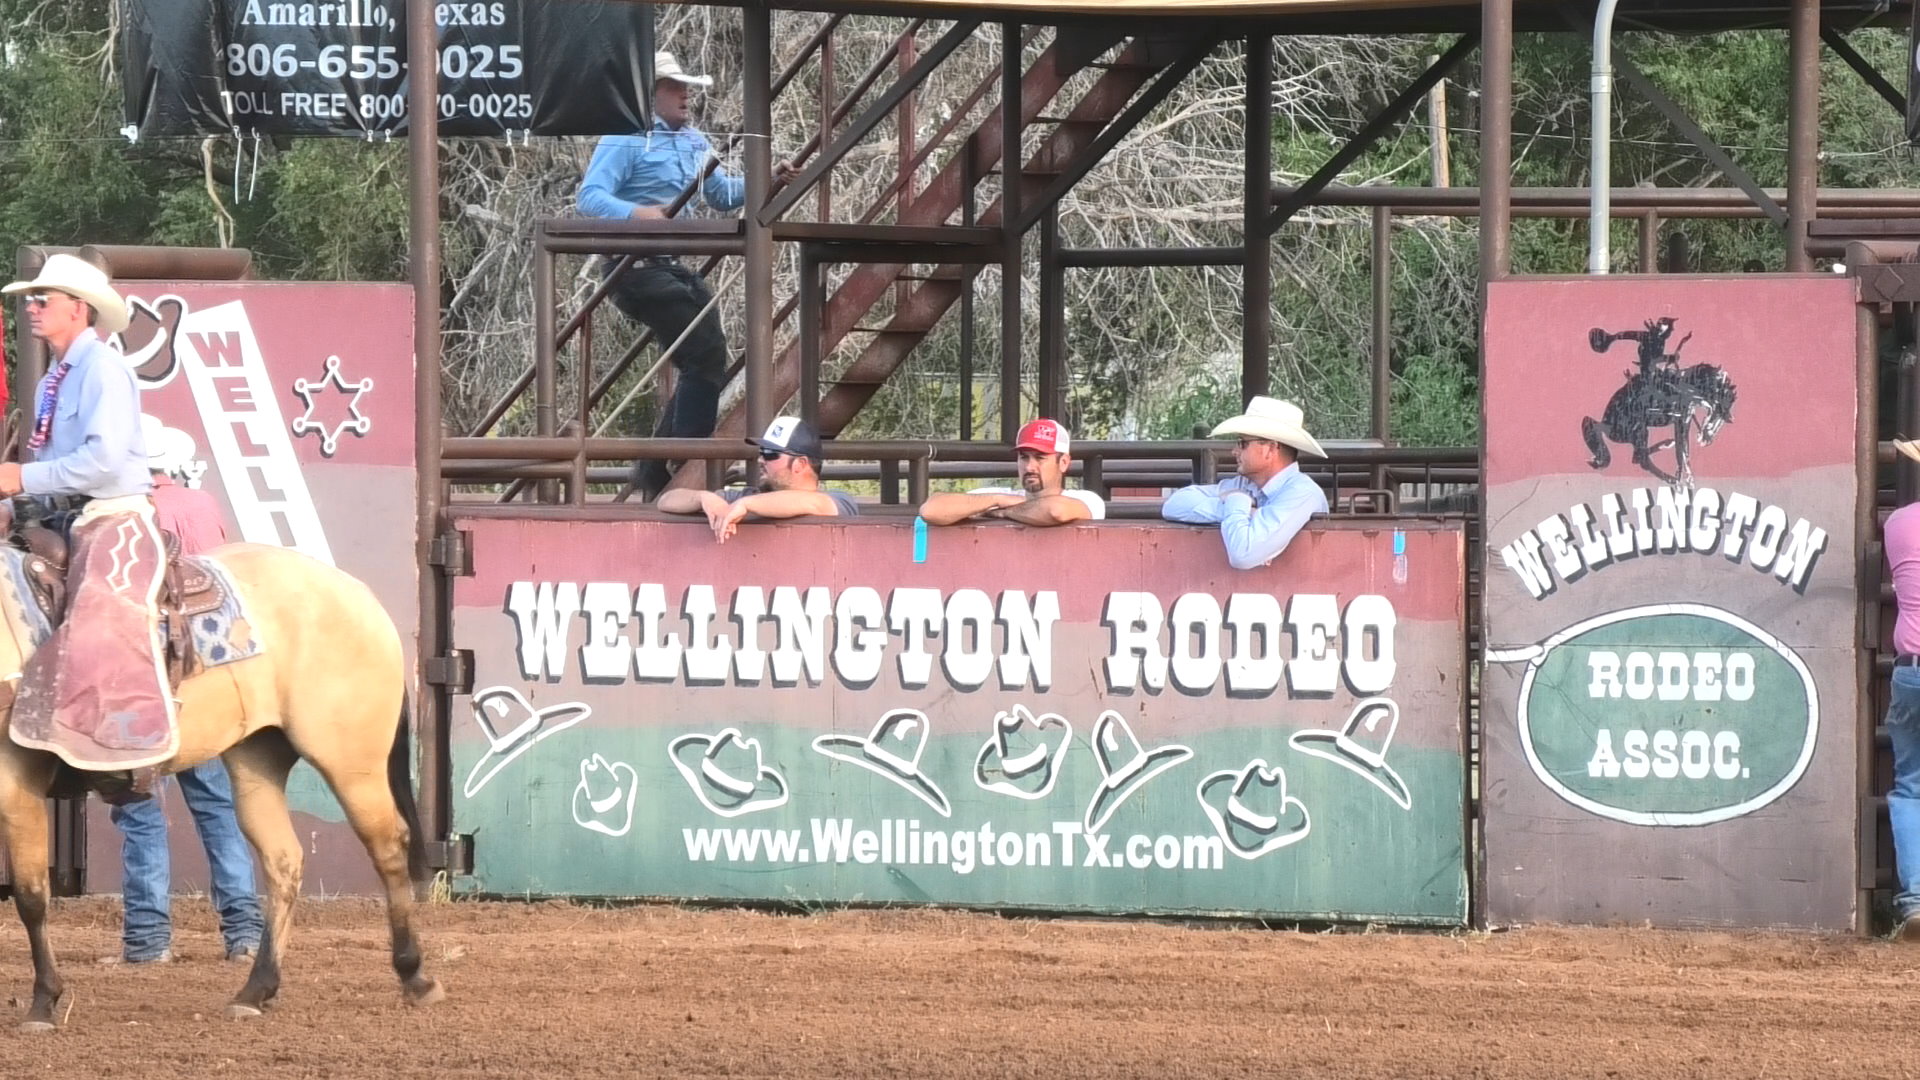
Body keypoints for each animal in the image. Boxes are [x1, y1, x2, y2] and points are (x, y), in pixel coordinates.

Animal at [0, 538, 439, 1022]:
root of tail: (360, 595)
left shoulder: (16, 782)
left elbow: (31, 896)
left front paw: (43, 1002)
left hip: (351, 761)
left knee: (389, 847)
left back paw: (415, 976)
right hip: (257, 759)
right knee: (283, 861)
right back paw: (255, 990)